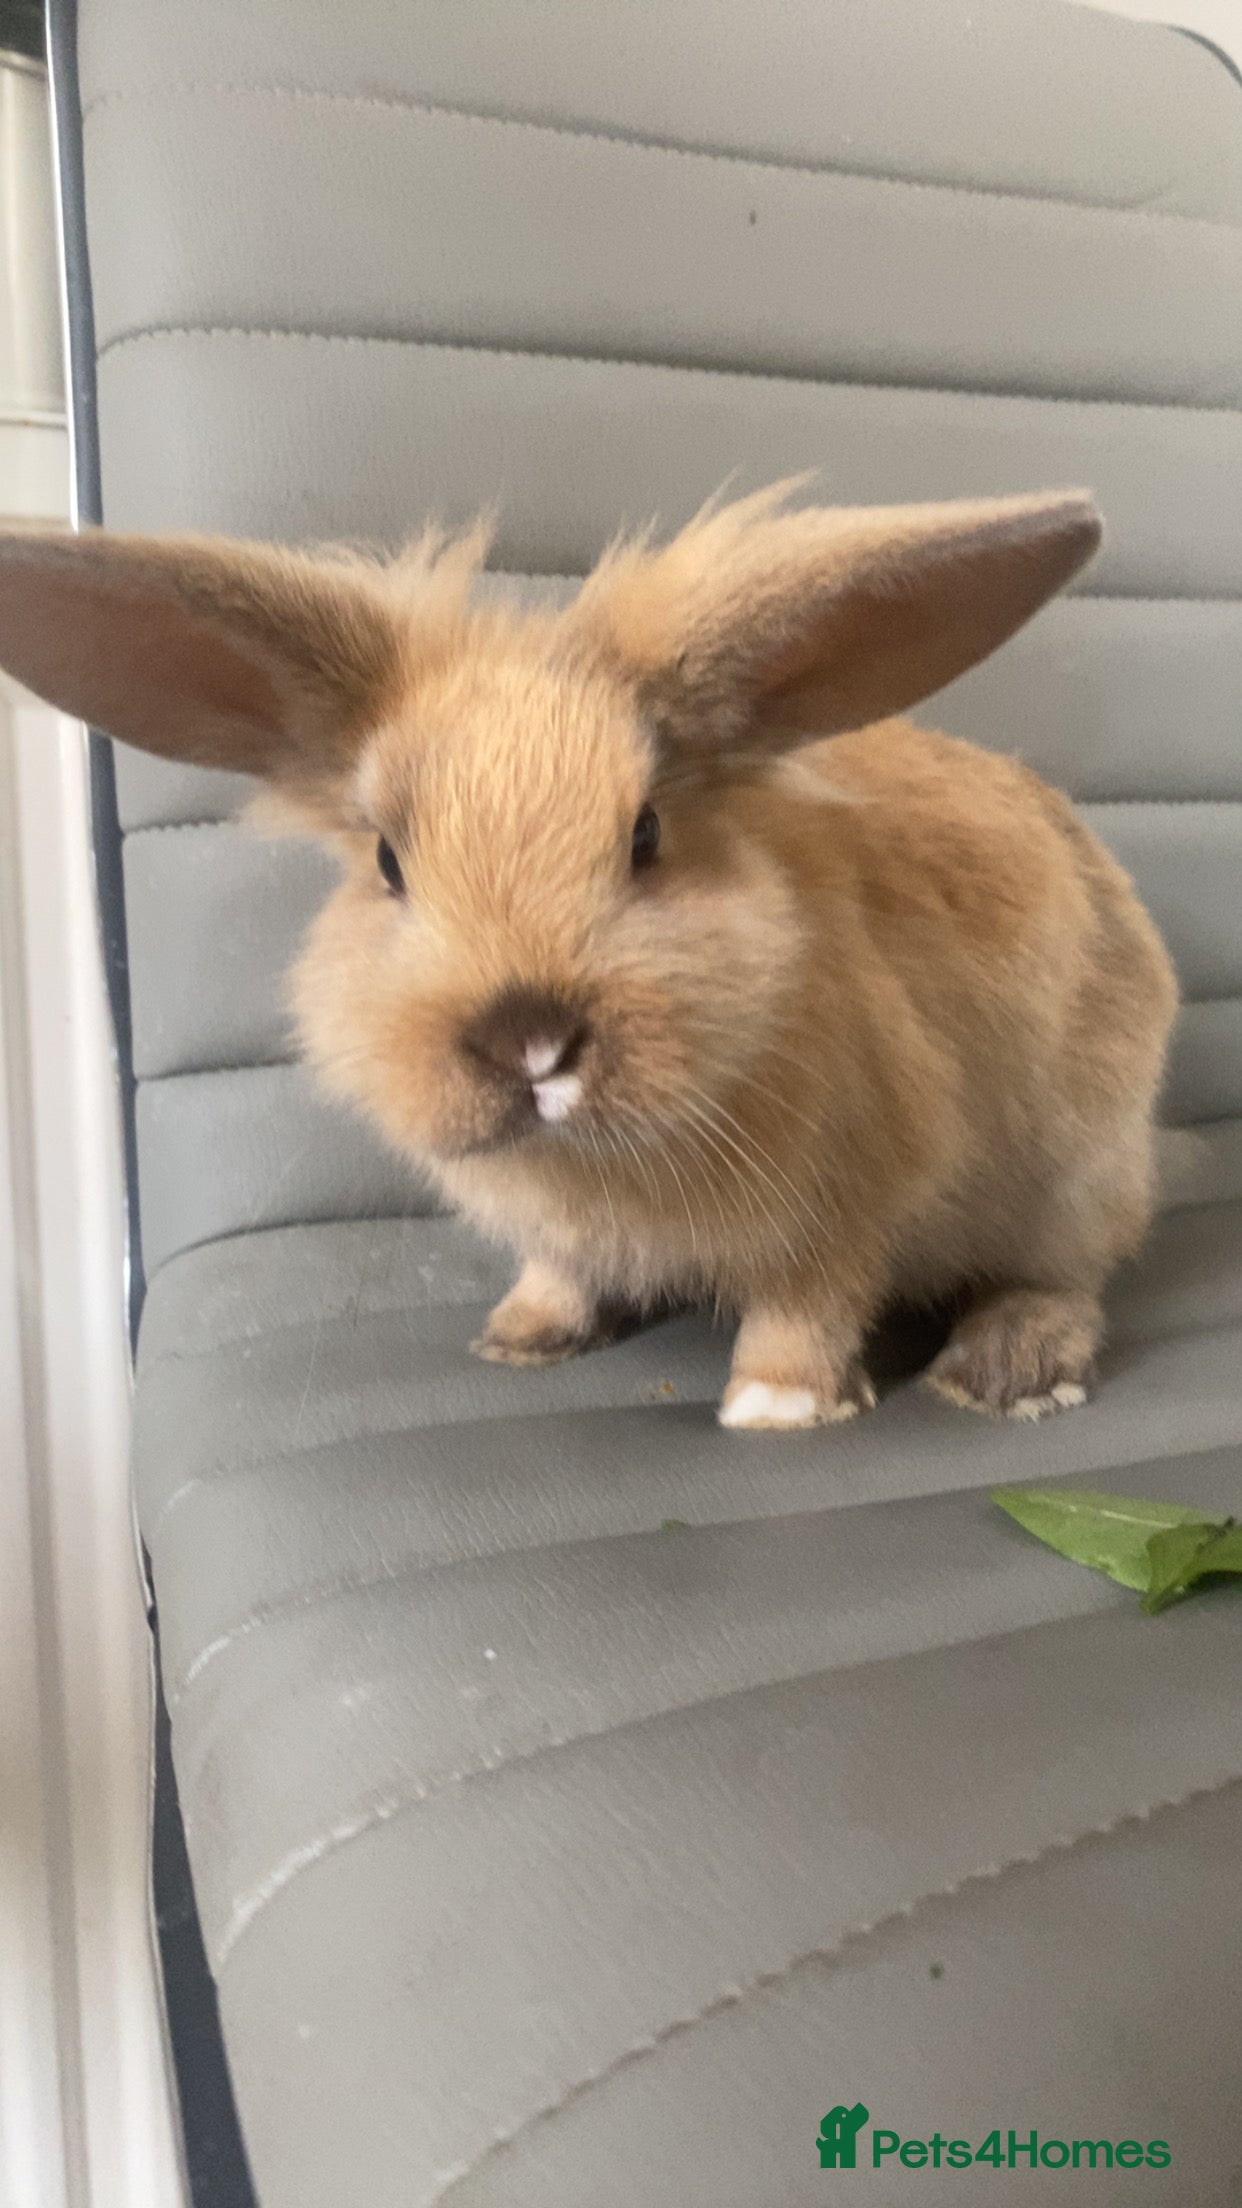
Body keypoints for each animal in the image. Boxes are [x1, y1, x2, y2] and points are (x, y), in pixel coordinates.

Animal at [0, 482, 1177, 1430]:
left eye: (646, 833)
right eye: (387, 860)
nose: (528, 1037)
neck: (594, 1161)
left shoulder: (856, 1191)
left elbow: (811, 1302)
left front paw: (776, 1407)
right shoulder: (559, 1230)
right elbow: (560, 1271)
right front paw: (518, 1338)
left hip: (1071, 1171)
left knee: (1070, 1275)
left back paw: (1004, 1372)